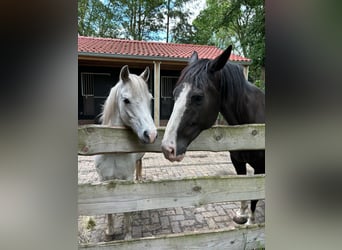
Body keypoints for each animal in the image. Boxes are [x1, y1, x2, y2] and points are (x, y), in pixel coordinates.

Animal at [160, 45, 264, 225]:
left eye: (198, 97)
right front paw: (241, 214)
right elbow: (243, 186)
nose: (168, 148)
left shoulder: (260, 168)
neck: (251, 131)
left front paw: (251, 221)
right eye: (175, 93)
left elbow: (254, 196)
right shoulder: (238, 162)